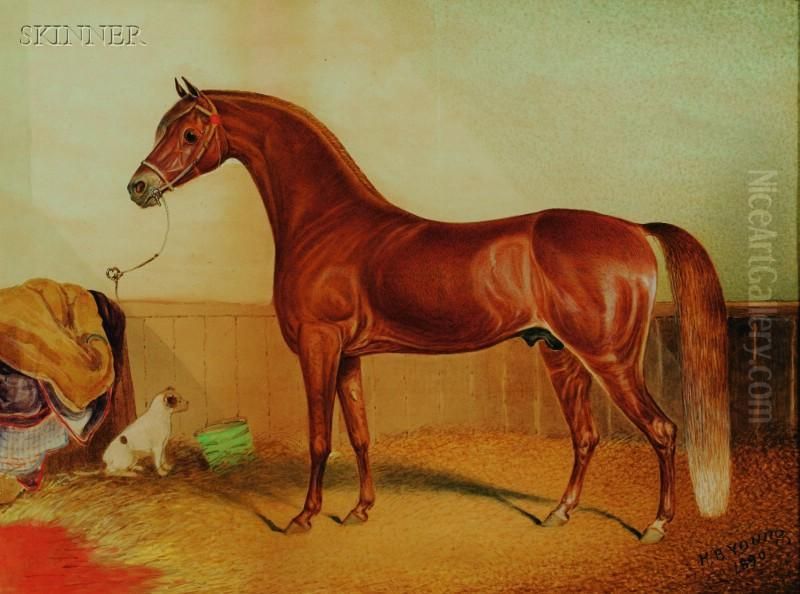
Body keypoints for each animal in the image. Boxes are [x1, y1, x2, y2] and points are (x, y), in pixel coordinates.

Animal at [126, 78, 730, 544]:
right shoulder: (348, 356)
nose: (138, 187)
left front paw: (303, 518)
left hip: (611, 360)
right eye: (160, 129)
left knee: (663, 430)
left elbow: (321, 437)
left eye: (189, 133)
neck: (326, 223)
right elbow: (360, 434)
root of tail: (633, 229)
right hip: (563, 356)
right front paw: (360, 510)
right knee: (586, 437)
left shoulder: (320, 347)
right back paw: (559, 514)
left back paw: (656, 526)